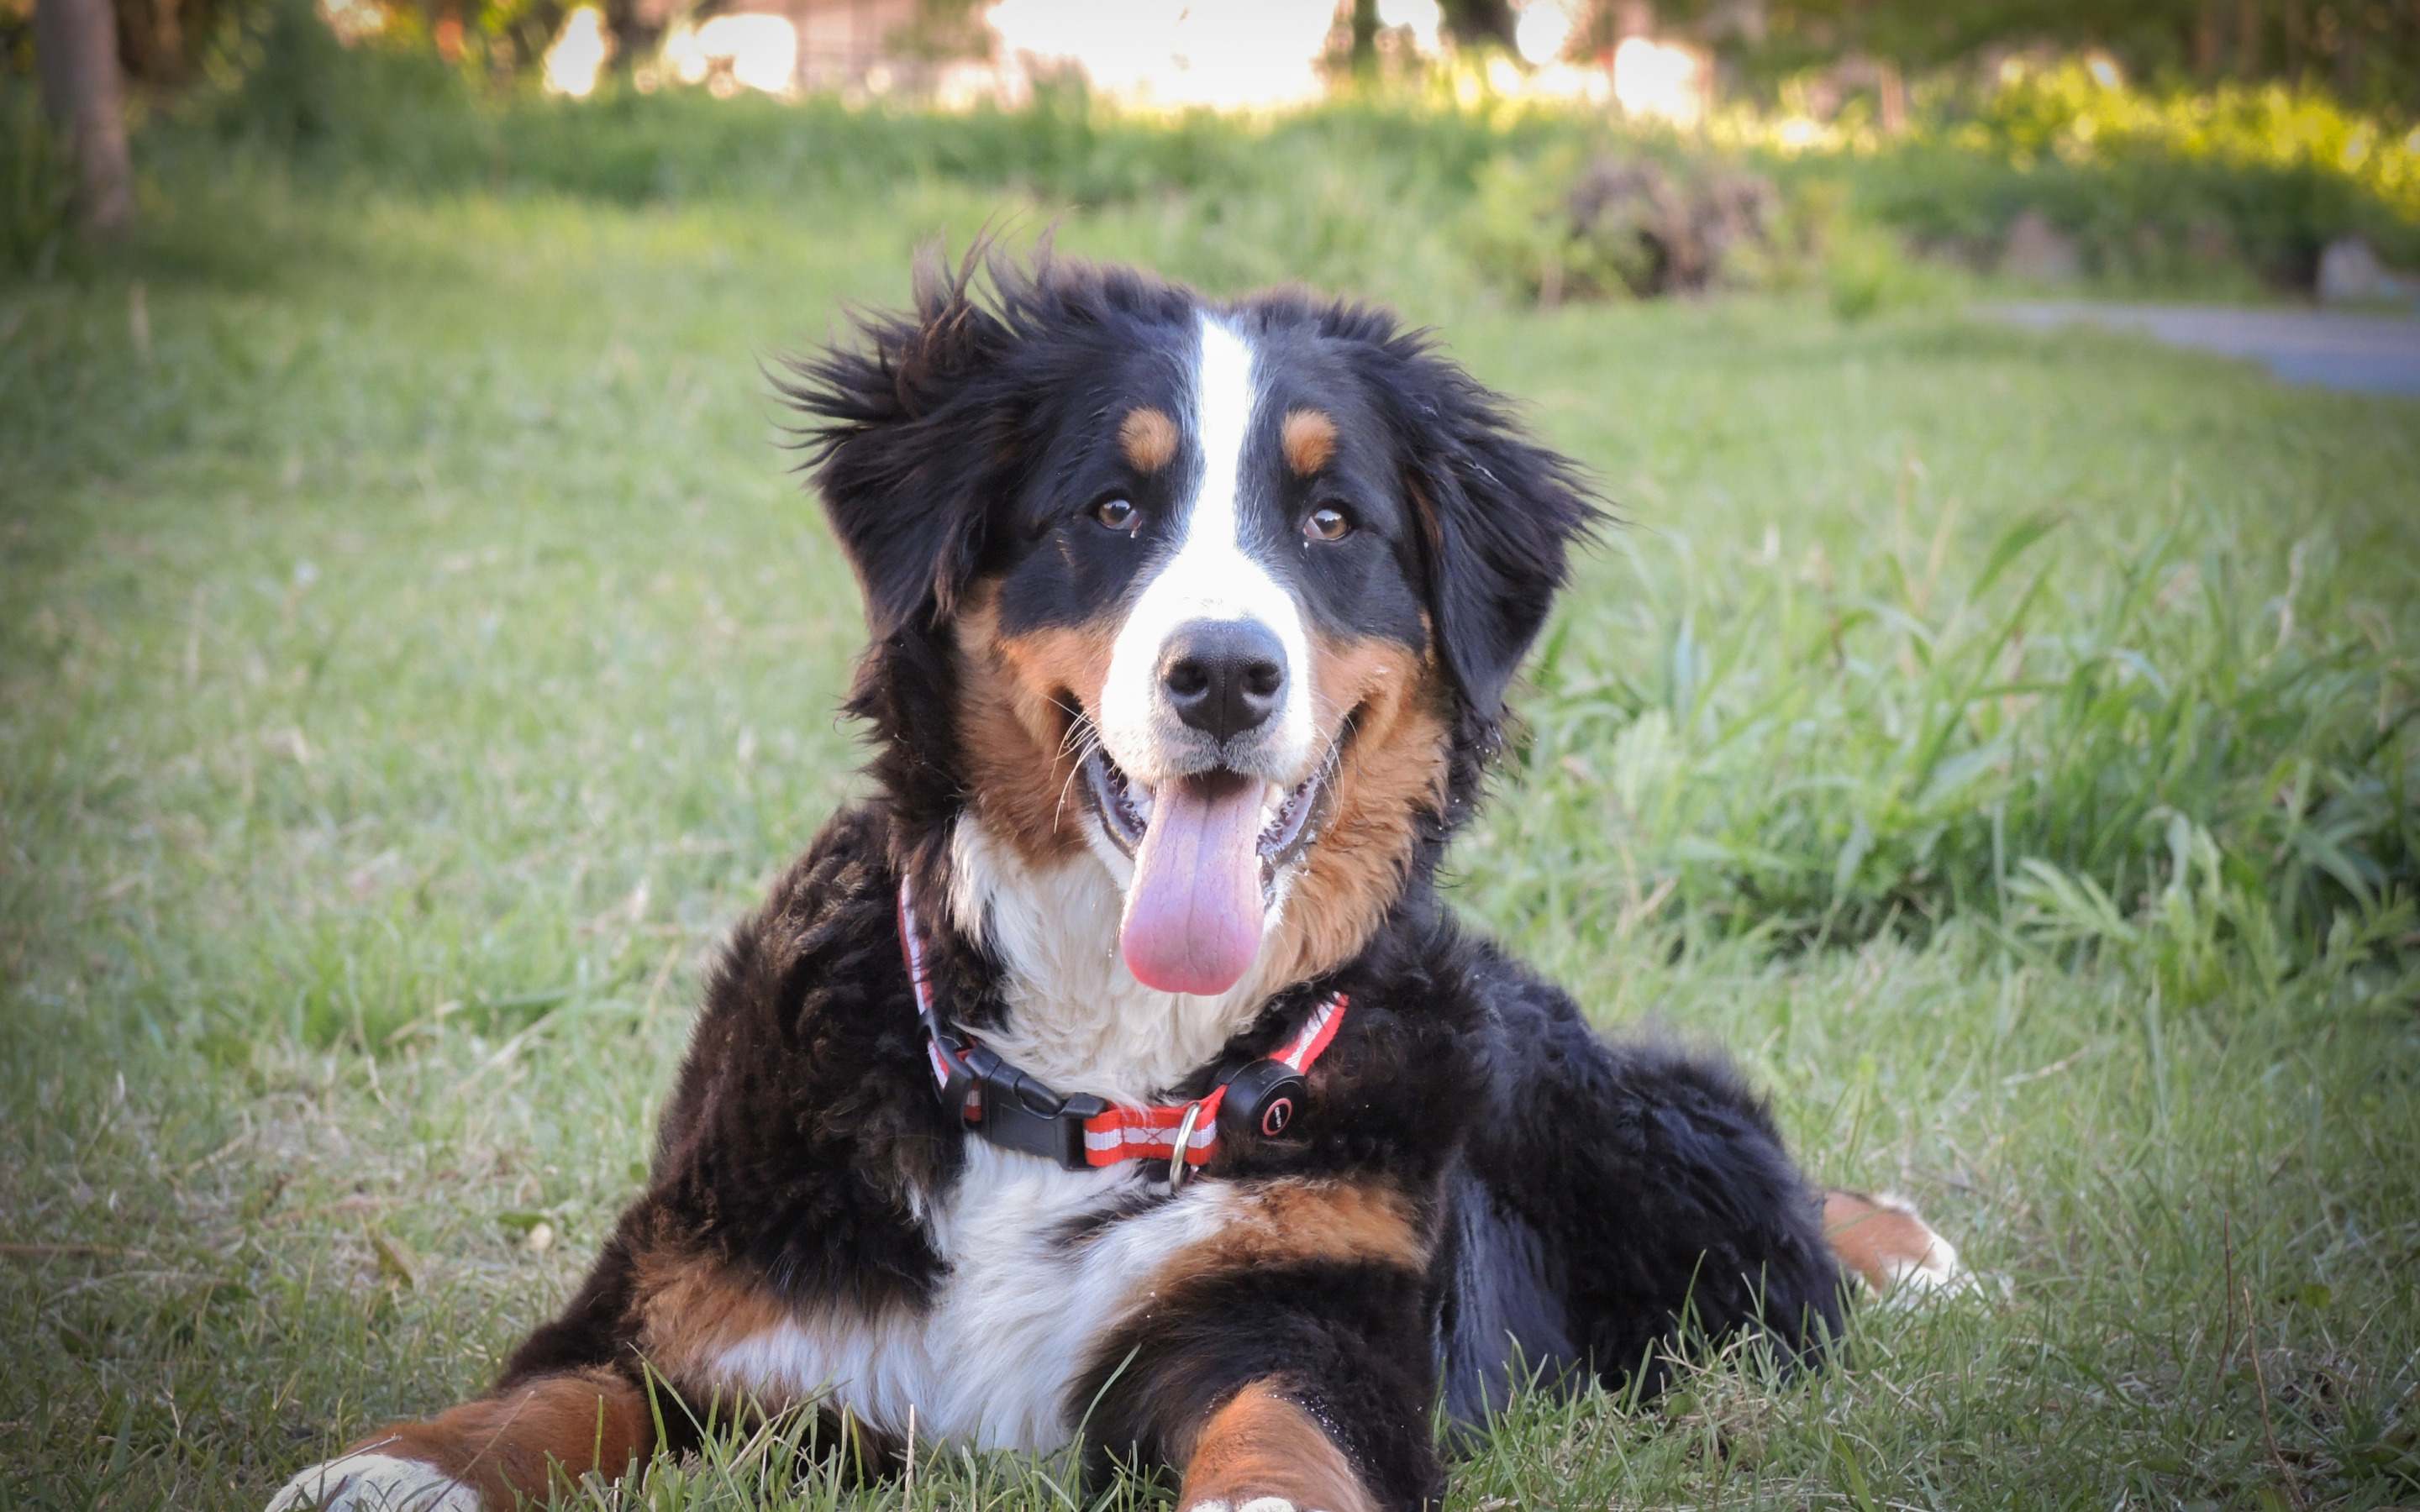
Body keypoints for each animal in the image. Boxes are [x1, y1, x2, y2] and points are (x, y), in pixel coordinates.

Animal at [270, 250, 1965, 1509]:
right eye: (1112, 508)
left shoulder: (1299, 1322)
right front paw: (387, 1472)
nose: (1222, 674)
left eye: (1331, 520)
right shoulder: (710, 1292)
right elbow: (547, 1396)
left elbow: (1285, 1439)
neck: (1087, 1084)